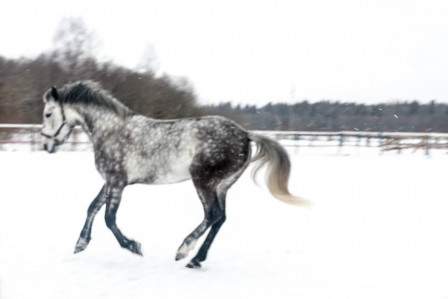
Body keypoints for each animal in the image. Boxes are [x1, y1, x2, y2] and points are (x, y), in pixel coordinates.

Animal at [41, 80, 308, 270]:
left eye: (47, 114)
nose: (46, 145)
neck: (111, 131)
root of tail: (245, 134)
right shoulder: (111, 181)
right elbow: (92, 207)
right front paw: (80, 244)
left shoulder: (117, 182)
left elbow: (109, 218)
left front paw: (134, 246)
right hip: (222, 186)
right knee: (220, 218)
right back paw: (196, 259)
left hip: (203, 181)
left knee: (212, 215)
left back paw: (184, 250)